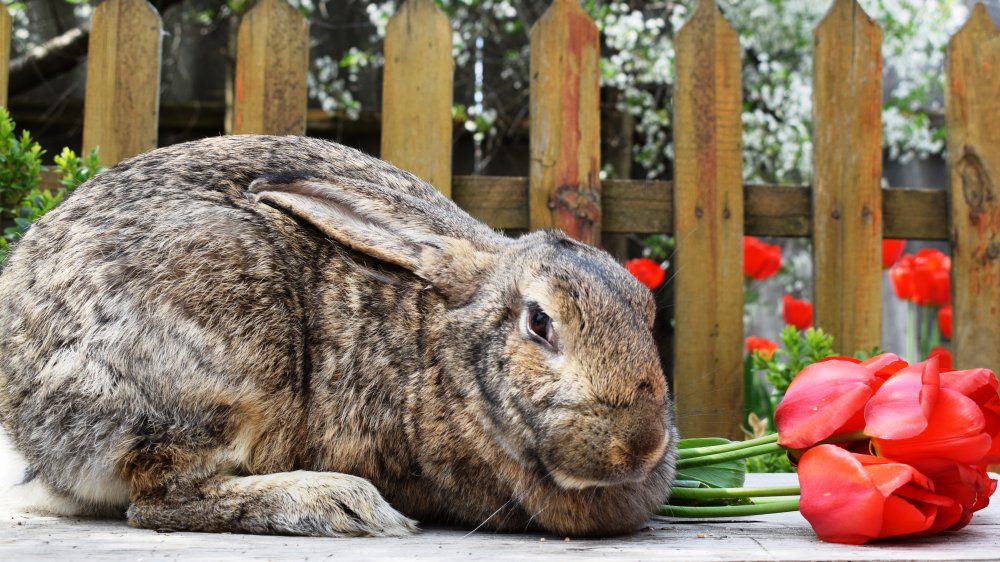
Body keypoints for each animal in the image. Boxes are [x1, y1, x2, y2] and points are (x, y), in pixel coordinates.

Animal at [0, 133, 680, 536]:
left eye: (646, 310)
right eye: (540, 323)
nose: (641, 446)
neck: (441, 350)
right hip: (227, 357)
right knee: (161, 499)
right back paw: (342, 503)